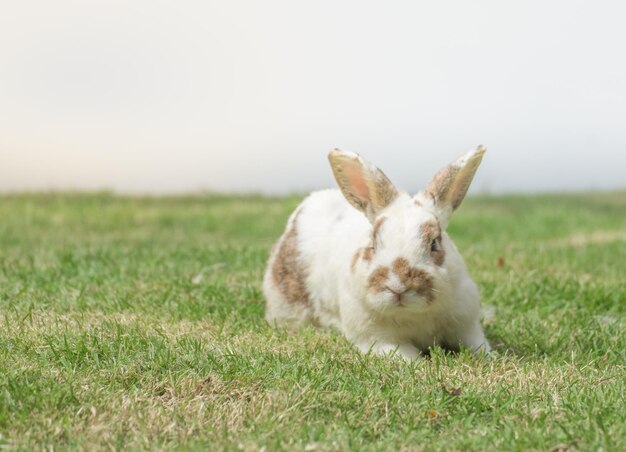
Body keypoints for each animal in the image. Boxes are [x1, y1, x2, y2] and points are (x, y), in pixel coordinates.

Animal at [260, 145, 490, 360]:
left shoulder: (467, 325)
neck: (412, 315)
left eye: (434, 244)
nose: (398, 285)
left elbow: (478, 345)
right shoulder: (377, 339)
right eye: (373, 243)